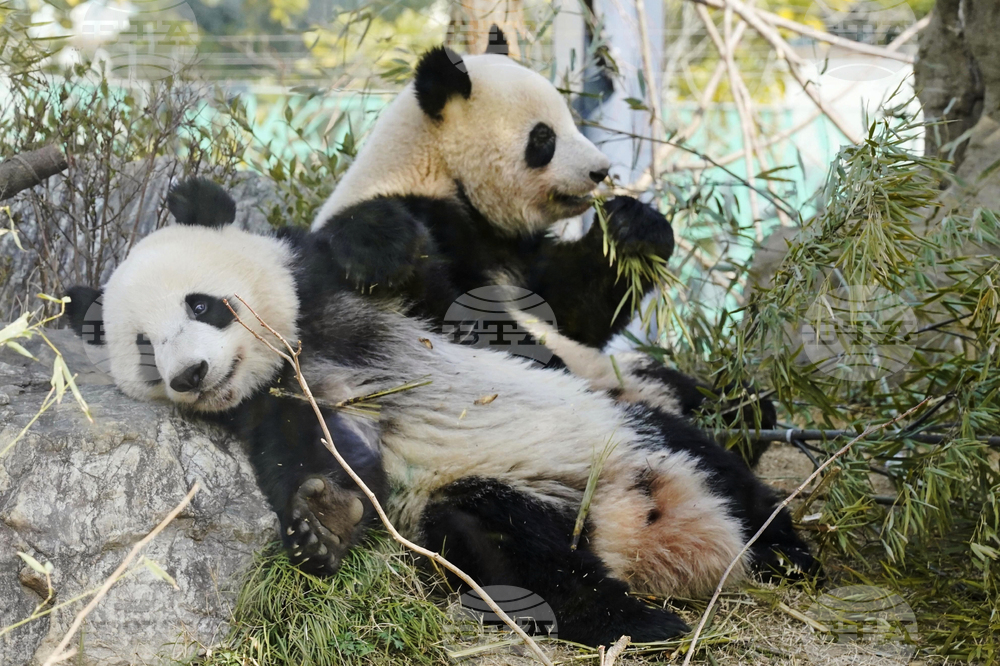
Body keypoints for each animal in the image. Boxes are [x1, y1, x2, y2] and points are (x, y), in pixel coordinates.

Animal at [66, 179, 814, 648]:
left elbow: (469, 302)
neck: (300, 348)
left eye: (201, 304)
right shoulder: (276, 404)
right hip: (511, 504)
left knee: (720, 470)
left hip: (631, 433)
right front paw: (321, 522)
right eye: (144, 347)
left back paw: (786, 557)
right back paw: (634, 621)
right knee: (506, 548)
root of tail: (649, 533)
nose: (190, 375)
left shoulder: (354, 299)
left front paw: (374, 240)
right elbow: (320, 456)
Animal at [310, 33, 675, 351]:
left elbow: (572, 309)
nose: (600, 170)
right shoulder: (426, 211)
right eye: (543, 136)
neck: (440, 170)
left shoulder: (517, 251)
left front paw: (635, 226)